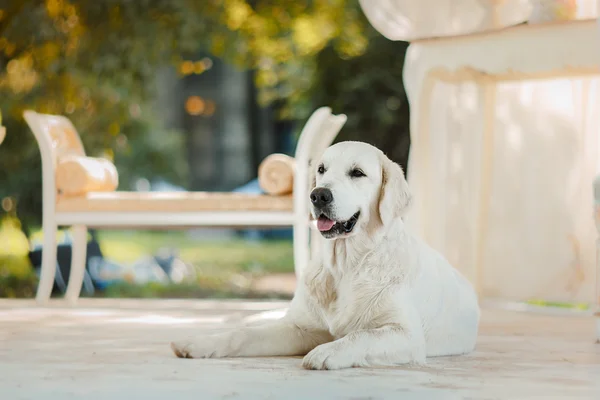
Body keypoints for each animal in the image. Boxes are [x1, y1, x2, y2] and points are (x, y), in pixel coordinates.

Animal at [171, 142, 480, 370]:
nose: (318, 195)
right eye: (321, 169)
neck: (345, 266)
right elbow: (243, 333)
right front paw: (199, 343)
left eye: (357, 173)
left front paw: (327, 352)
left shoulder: (406, 334)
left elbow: (361, 334)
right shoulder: (299, 328)